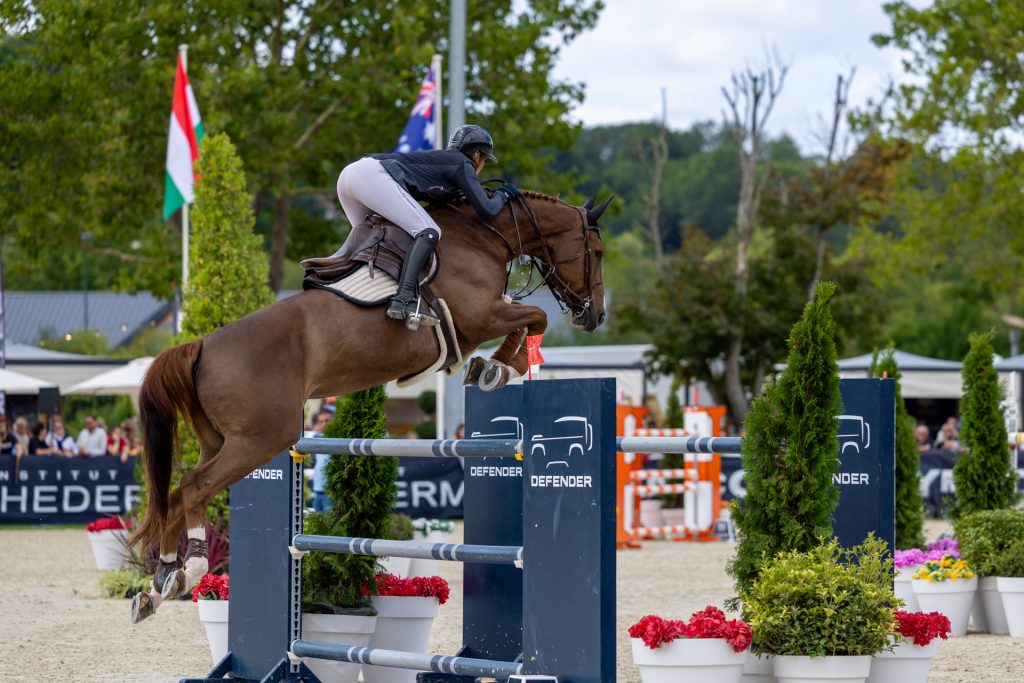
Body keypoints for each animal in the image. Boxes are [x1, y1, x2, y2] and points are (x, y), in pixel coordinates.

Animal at [130, 189, 606, 622]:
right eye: (597, 252)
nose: (595, 317)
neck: (485, 237)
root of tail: (203, 346)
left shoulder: (486, 316)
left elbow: (527, 317)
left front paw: (493, 367)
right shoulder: (481, 317)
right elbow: (533, 317)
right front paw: (499, 368)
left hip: (221, 441)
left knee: (175, 495)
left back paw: (160, 584)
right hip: (260, 439)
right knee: (194, 488)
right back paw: (191, 568)